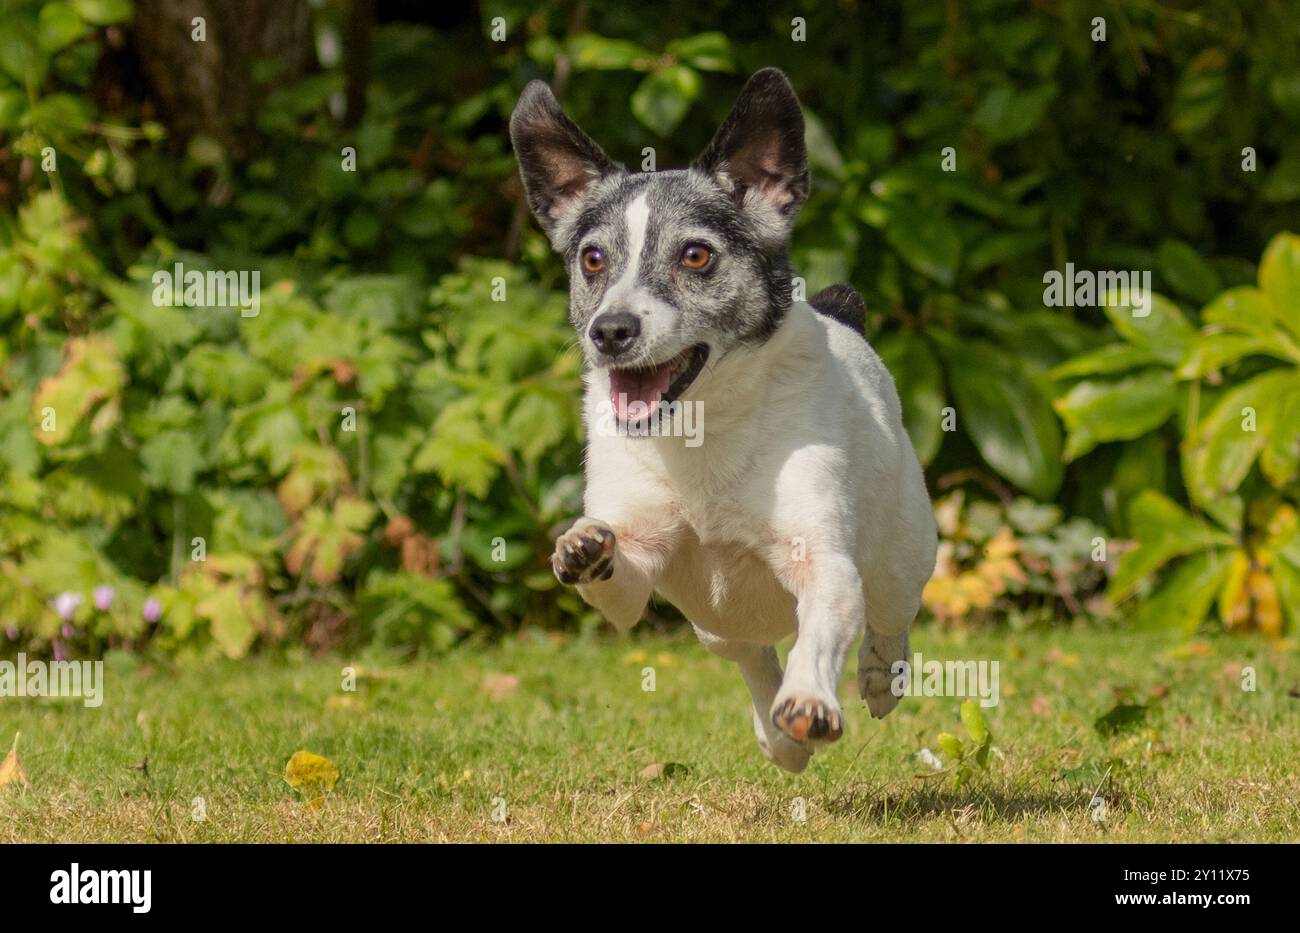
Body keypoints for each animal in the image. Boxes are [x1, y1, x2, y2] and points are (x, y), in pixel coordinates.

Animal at [506, 67, 935, 774]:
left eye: (696, 257)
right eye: (593, 260)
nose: (610, 330)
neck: (701, 428)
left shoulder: (825, 564)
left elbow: (822, 629)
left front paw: (813, 700)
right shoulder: (641, 561)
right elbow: (618, 578)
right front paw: (583, 547)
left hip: (902, 553)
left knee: (889, 617)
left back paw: (875, 676)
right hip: (714, 625)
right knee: (752, 657)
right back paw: (778, 736)